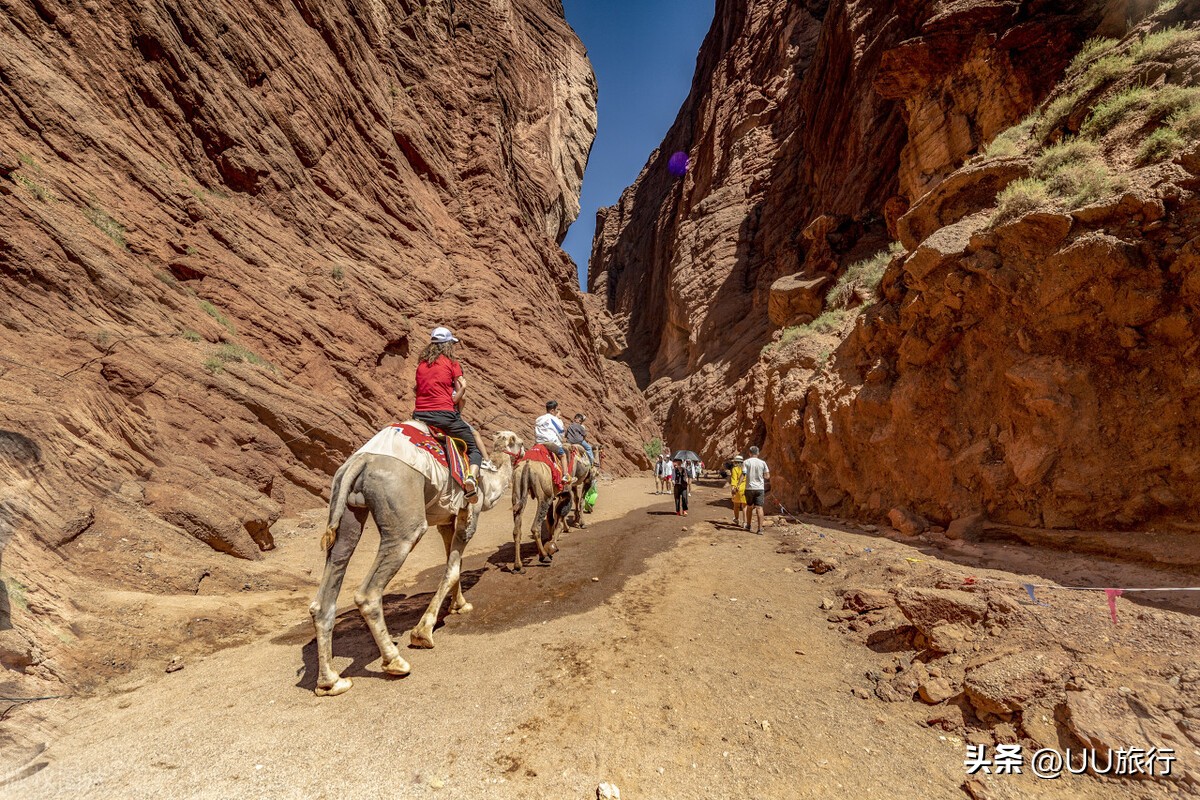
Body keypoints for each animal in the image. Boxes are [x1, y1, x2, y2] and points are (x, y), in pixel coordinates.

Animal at [307, 429, 523, 695]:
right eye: (519, 441)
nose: (526, 449)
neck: (489, 482)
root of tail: (362, 461)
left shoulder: (446, 519)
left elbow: (454, 564)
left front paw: (459, 605)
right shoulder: (469, 515)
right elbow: (452, 569)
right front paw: (422, 633)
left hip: (346, 509)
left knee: (327, 587)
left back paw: (331, 682)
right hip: (404, 518)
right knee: (369, 592)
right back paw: (395, 662)